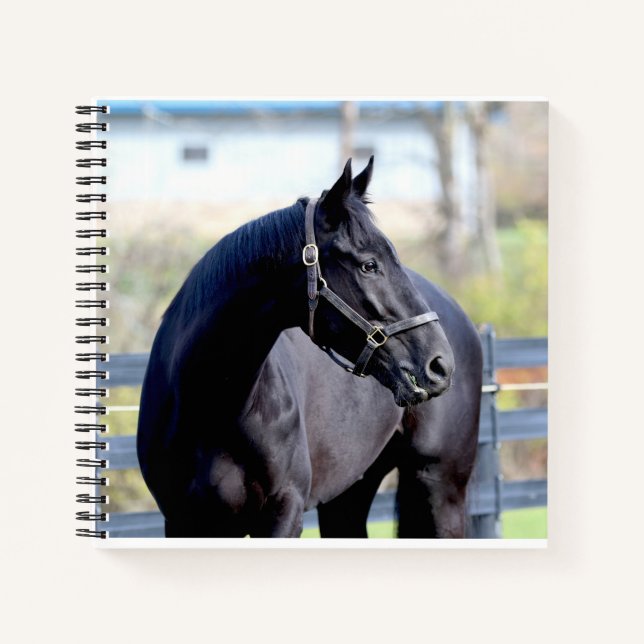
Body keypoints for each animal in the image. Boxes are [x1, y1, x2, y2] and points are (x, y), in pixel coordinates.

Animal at [136, 157, 482, 538]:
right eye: (369, 265)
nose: (439, 364)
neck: (212, 407)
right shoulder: (183, 521)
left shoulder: (283, 512)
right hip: (349, 495)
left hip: (441, 487)